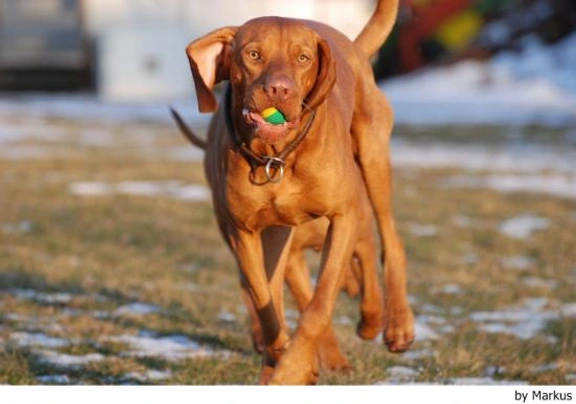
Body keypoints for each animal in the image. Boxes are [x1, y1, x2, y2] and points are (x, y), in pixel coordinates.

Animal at [178, 0, 412, 384]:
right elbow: (265, 301)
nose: (279, 90)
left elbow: (319, 304)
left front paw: (291, 368)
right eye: (253, 54)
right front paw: (284, 360)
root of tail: (351, 46)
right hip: (275, 234)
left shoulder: (344, 217)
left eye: (302, 58)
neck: (277, 158)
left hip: (373, 156)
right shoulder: (246, 233)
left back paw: (397, 325)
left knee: (391, 239)